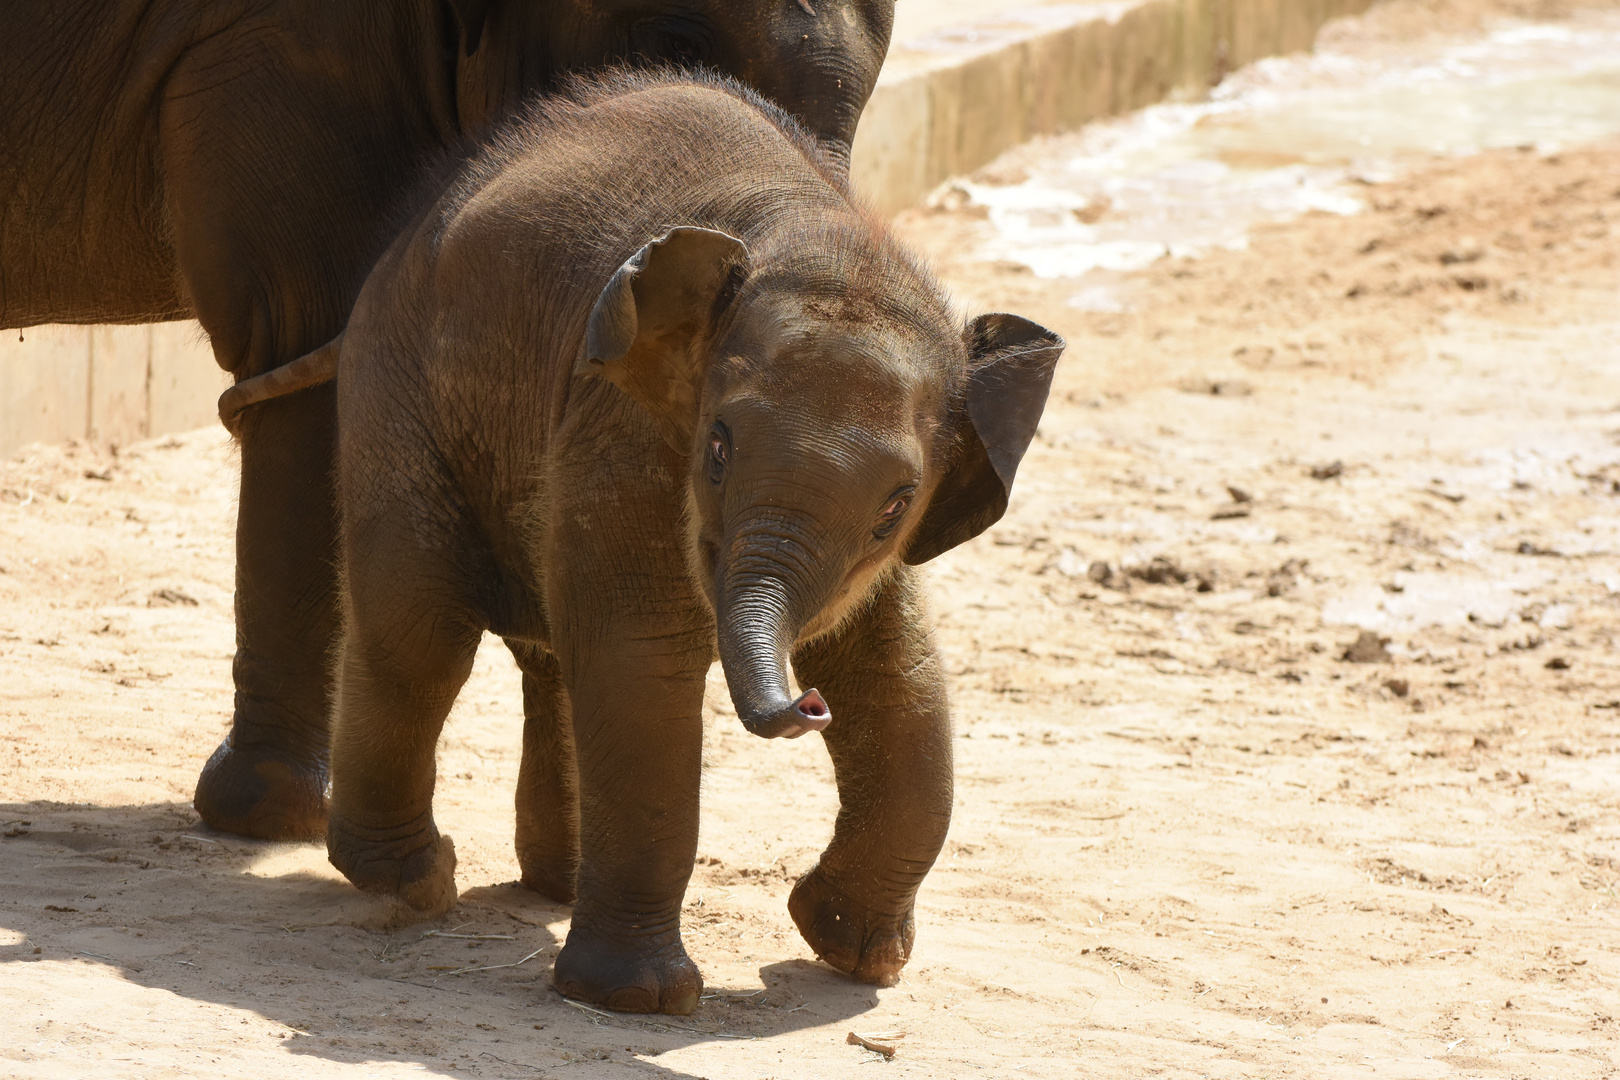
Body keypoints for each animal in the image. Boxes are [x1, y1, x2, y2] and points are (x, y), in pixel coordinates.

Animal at [280, 74, 1062, 1016]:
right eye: (718, 446)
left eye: (897, 505)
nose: (805, 703)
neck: (812, 230)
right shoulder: (623, 419)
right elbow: (639, 655)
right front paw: (638, 1001)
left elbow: (897, 673)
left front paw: (855, 955)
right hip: (398, 383)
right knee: (419, 626)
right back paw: (412, 881)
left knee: (540, 648)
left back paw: (552, 883)